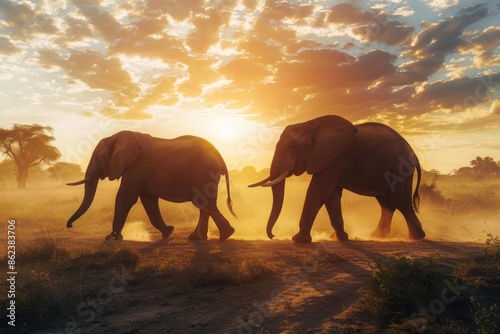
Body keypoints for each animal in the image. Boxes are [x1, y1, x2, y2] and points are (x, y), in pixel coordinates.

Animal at [66, 129, 236, 241]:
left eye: (97, 158)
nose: (69, 226)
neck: (115, 137)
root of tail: (217, 152)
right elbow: (149, 202)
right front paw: (168, 232)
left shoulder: (136, 168)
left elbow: (125, 198)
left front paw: (112, 238)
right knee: (204, 204)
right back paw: (200, 238)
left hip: (203, 172)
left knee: (202, 202)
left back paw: (225, 235)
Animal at [248, 115, 424, 243]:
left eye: (295, 147)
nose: (272, 236)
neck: (311, 125)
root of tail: (414, 154)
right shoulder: (334, 160)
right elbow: (331, 197)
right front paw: (339, 238)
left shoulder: (334, 158)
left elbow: (318, 192)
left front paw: (298, 240)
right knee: (387, 204)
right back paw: (377, 237)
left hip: (400, 168)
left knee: (401, 202)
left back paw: (414, 238)